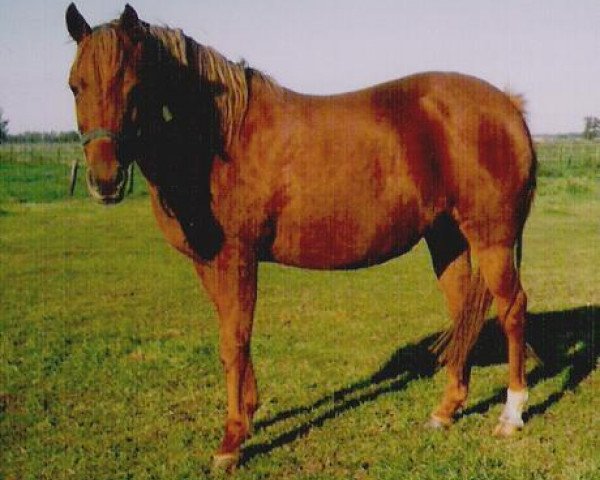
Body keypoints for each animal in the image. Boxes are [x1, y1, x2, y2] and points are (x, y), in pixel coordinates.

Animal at [65, 2, 536, 468]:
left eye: (135, 87)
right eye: (75, 86)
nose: (105, 181)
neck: (218, 137)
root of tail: (508, 106)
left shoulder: (237, 257)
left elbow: (235, 340)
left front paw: (230, 442)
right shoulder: (208, 263)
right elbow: (232, 337)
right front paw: (248, 416)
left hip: (491, 239)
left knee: (512, 308)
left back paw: (511, 415)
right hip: (447, 239)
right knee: (463, 315)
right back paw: (445, 411)